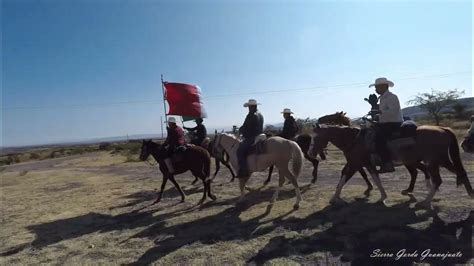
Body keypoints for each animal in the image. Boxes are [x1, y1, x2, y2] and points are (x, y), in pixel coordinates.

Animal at [308, 124, 474, 208]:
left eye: (318, 138)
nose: (310, 153)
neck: (355, 140)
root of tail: (442, 129)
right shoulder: (363, 163)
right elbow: (372, 177)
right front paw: (382, 196)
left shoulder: (356, 164)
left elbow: (346, 177)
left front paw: (334, 197)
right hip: (435, 161)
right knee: (459, 172)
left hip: (435, 161)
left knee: (438, 178)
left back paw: (426, 201)